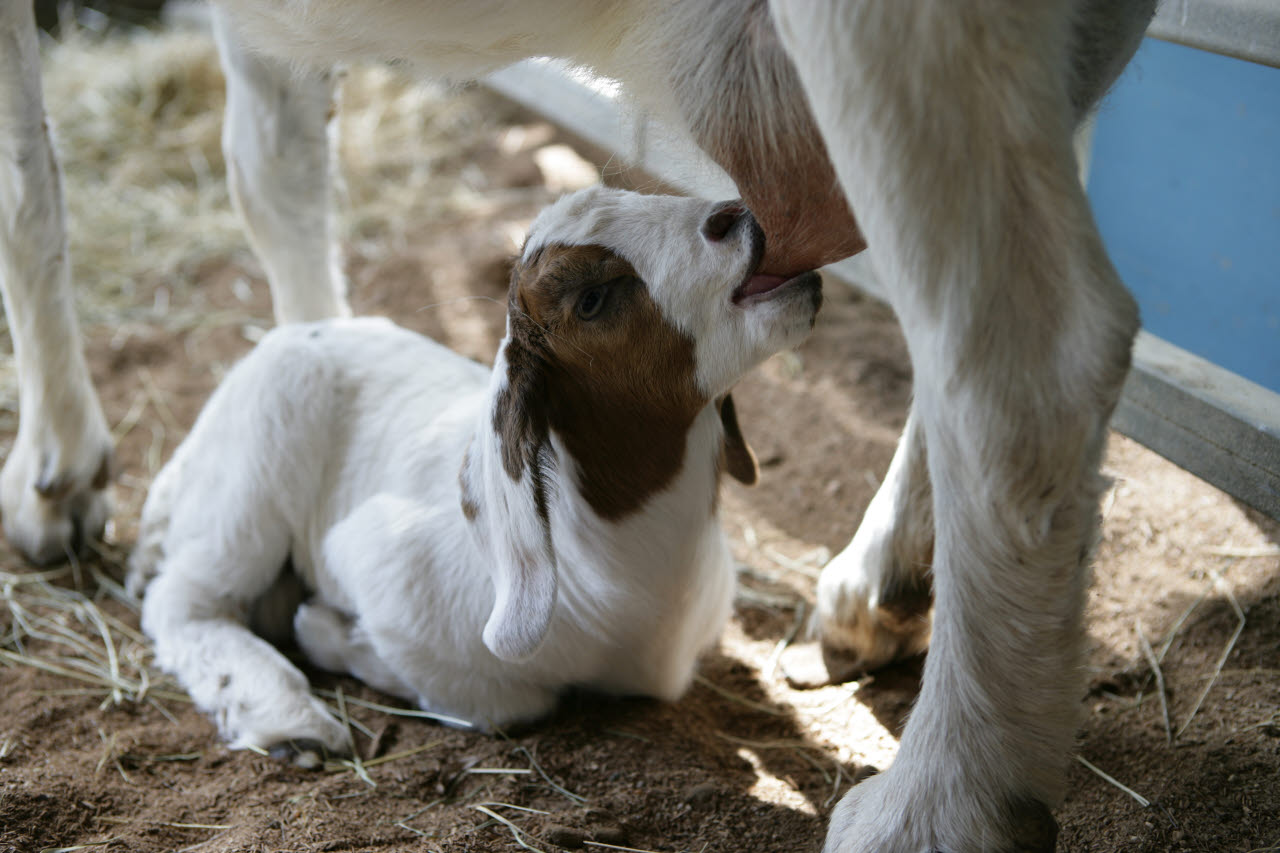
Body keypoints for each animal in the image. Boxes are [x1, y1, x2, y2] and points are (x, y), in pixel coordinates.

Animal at [124, 186, 822, 762]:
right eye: (590, 300)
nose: (736, 216)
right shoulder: (380, 566)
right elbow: (508, 703)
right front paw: (328, 633)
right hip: (257, 468)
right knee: (184, 602)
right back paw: (290, 720)